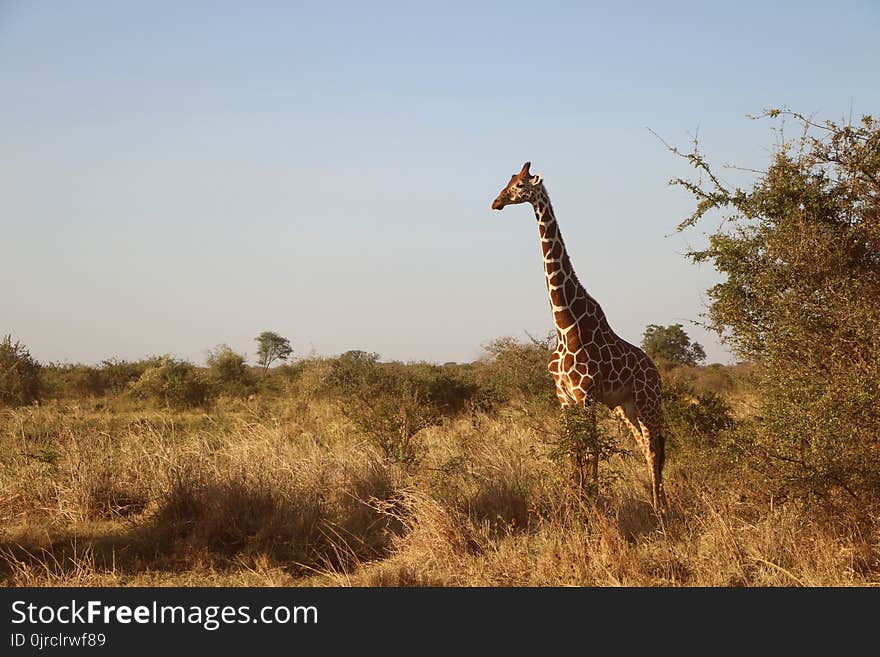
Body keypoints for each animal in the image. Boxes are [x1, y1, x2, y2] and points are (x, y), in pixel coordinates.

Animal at [492, 161, 664, 510]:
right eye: (509, 181)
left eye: (519, 185)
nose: (496, 202)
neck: (565, 323)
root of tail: (655, 370)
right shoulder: (565, 397)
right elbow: (574, 449)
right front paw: (573, 498)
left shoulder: (586, 395)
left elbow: (592, 449)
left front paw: (593, 500)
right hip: (624, 406)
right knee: (644, 445)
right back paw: (657, 499)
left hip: (647, 400)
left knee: (654, 447)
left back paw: (660, 505)